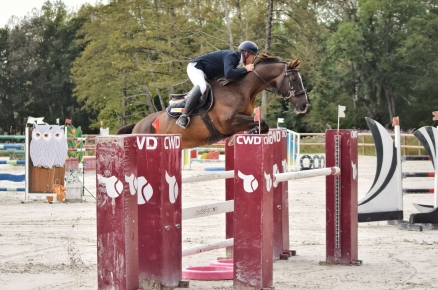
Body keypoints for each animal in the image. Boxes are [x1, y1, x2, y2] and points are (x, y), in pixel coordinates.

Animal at [116, 54, 308, 148]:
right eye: (294, 79)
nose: (304, 105)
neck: (242, 88)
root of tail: (136, 126)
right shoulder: (228, 123)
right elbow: (262, 122)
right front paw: (250, 133)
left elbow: (262, 124)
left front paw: (251, 133)